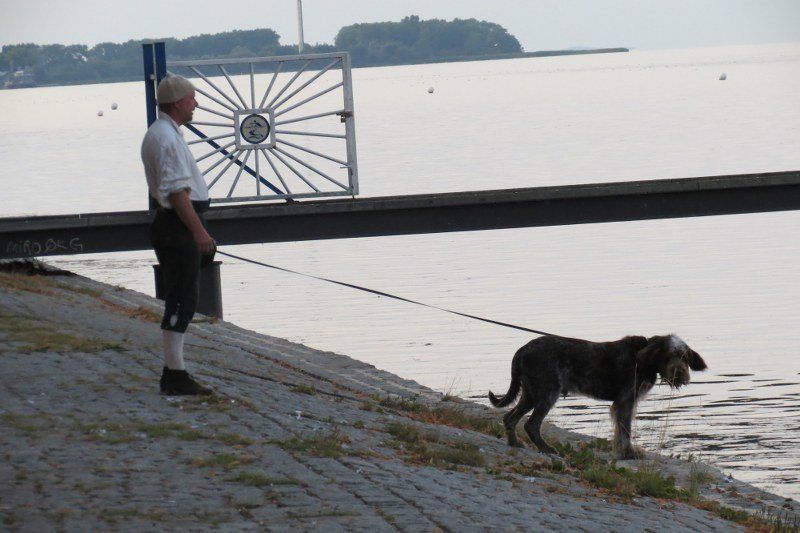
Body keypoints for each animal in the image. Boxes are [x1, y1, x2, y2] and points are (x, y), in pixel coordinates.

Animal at [488, 334, 707, 459]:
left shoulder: (624, 404)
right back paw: (547, 449)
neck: (643, 360)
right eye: (668, 356)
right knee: (531, 424)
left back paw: (515, 443)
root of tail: (521, 351)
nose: (680, 374)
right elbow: (625, 431)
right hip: (547, 394)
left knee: (509, 418)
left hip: (530, 394)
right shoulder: (625, 402)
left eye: (684, 357)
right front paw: (628, 453)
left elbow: (620, 431)